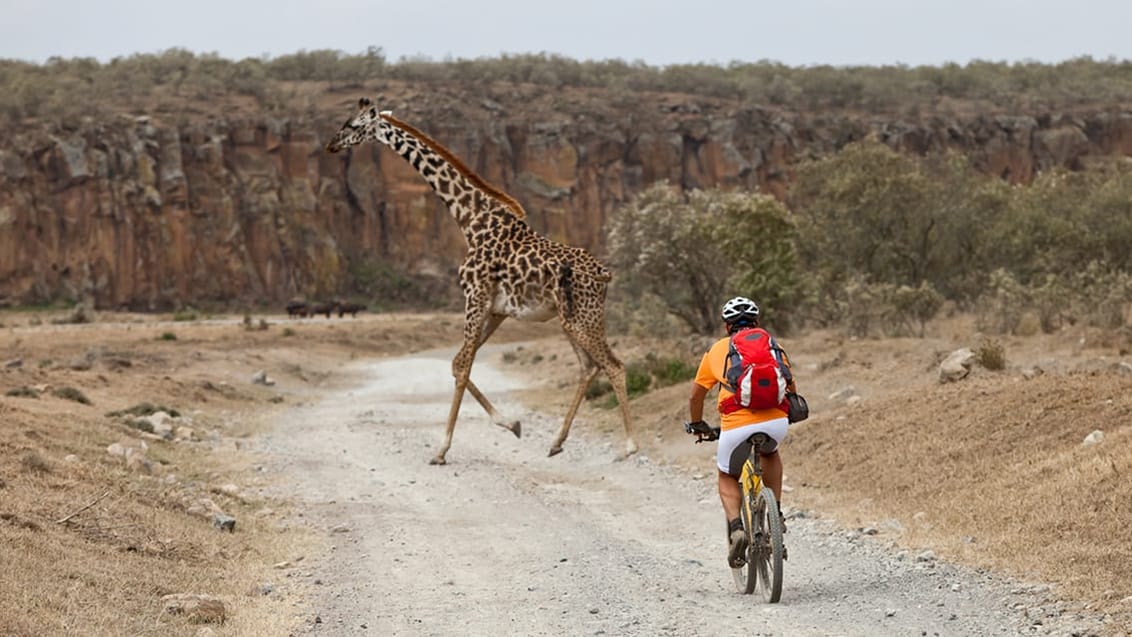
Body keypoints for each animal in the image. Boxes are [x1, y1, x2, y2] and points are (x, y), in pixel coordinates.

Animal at [326, 99, 638, 466]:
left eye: (352, 124)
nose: (331, 144)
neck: (469, 219)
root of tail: (605, 274)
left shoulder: (474, 298)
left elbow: (462, 367)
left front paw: (441, 449)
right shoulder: (496, 309)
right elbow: (457, 363)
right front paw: (512, 424)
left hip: (583, 318)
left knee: (614, 366)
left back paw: (629, 447)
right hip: (570, 320)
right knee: (589, 367)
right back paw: (556, 442)